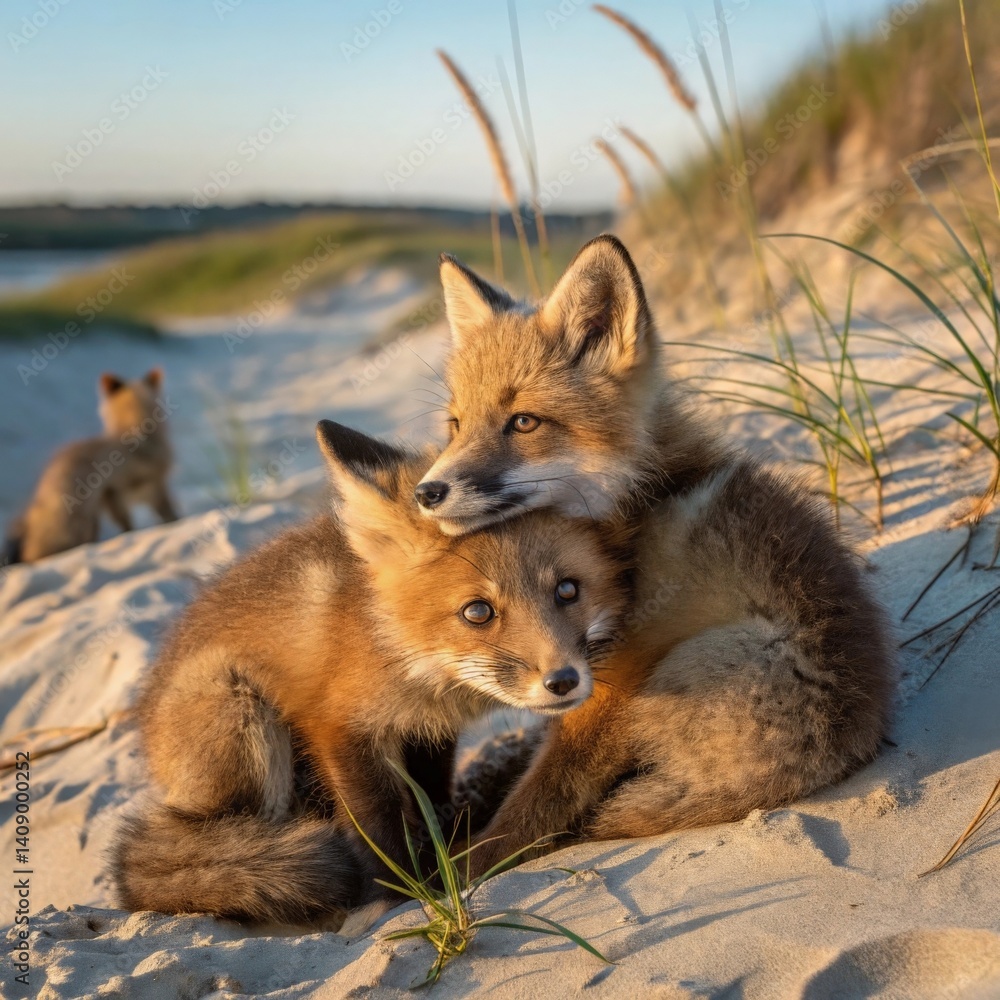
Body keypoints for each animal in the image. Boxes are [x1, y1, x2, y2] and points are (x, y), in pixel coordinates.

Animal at [7, 368, 178, 564]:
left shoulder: (151, 490)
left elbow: (168, 517)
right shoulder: (118, 491)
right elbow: (130, 525)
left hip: (89, 521)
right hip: (84, 523)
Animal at [112, 420, 628, 924]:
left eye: (567, 590)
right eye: (478, 612)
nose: (563, 681)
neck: (404, 652)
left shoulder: (428, 732)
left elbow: (429, 800)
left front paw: (437, 853)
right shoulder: (338, 727)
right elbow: (376, 825)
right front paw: (393, 896)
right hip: (246, 724)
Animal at [416, 234, 895, 878]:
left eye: (524, 421)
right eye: (455, 424)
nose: (426, 493)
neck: (634, 502)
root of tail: (849, 739)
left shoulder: (607, 684)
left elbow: (535, 805)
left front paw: (458, 874)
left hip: (681, 671)